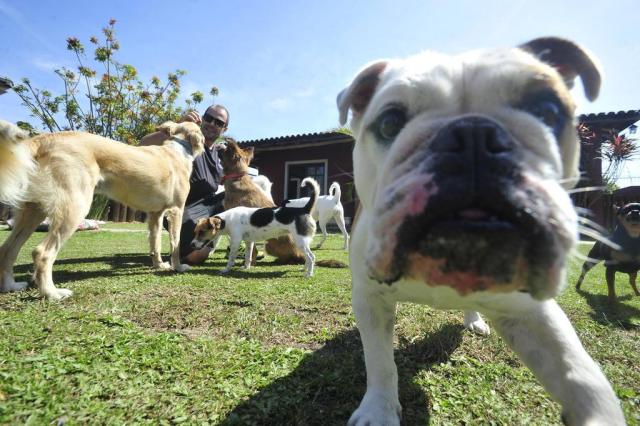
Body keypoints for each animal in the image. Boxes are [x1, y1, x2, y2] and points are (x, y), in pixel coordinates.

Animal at [0, 120, 204, 300]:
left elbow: (155, 244)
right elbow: (175, 244)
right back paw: (52, 293)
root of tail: (43, 139)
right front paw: (177, 267)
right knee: (41, 253)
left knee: (8, 249)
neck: (178, 149)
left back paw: (11, 286)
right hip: (75, 207)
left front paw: (159, 265)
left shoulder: (155, 215)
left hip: (33, 212)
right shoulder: (176, 211)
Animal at [340, 38, 624, 424]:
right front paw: (379, 410)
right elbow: (380, 362)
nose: (472, 133)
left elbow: (581, 375)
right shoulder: (371, 300)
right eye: (389, 122)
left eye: (547, 110)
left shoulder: (530, 313)